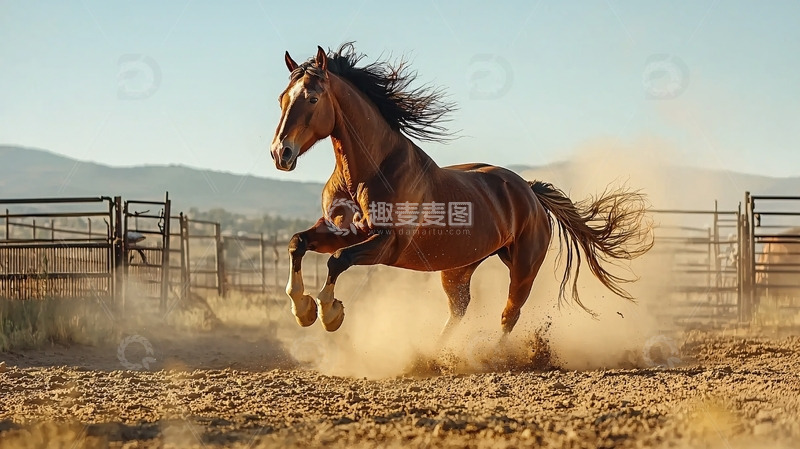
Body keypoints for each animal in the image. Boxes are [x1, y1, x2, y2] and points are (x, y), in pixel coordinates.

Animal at [268, 43, 654, 342]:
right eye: (281, 99)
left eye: (313, 98)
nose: (280, 153)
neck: (367, 172)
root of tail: (530, 192)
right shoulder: (342, 231)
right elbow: (298, 243)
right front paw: (303, 310)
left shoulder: (388, 243)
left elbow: (338, 260)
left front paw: (329, 313)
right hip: (458, 268)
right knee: (460, 310)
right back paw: (432, 357)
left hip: (524, 267)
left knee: (509, 314)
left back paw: (491, 356)